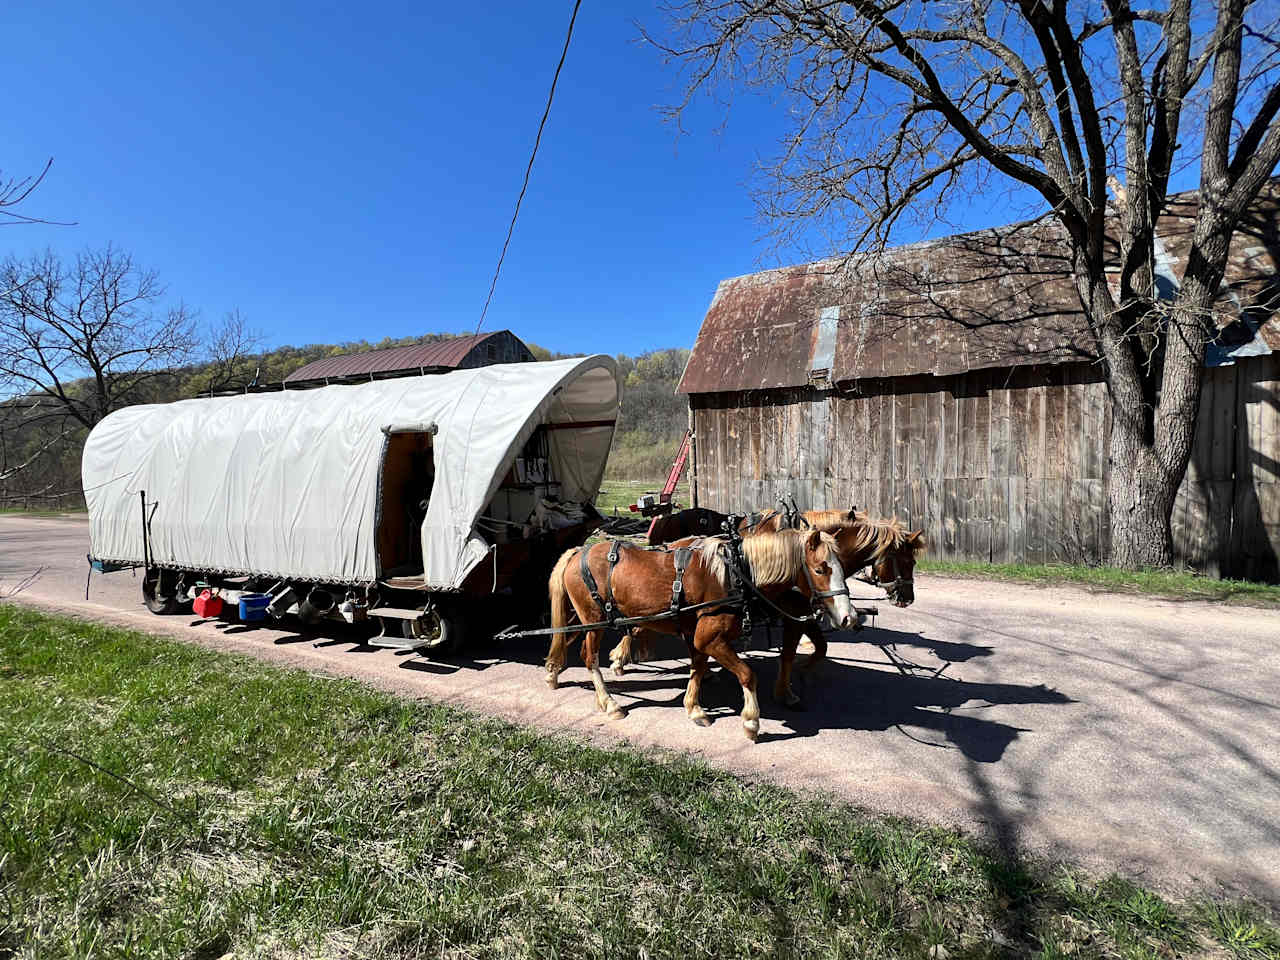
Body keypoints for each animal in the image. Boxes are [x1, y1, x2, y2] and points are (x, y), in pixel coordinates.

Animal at [545, 527, 855, 742]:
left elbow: (698, 666)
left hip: (580, 619)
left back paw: (553, 673)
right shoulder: (710, 639)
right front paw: (751, 722)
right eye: (820, 569)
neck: (737, 574)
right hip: (594, 621)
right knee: (589, 657)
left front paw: (694, 707)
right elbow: (747, 674)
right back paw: (610, 703)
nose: (848, 617)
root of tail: (578, 552)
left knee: (564, 640)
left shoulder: (698, 637)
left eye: (842, 567)